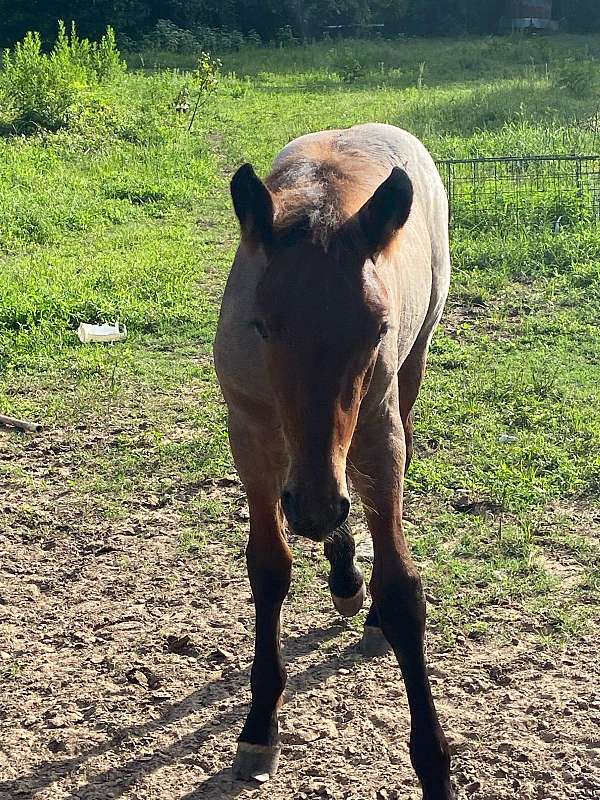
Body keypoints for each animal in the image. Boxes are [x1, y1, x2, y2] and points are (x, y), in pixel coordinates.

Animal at [213, 123, 453, 800]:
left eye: (374, 330)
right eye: (262, 325)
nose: (315, 506)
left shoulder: (373, 439)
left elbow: (401, 589)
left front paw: (433, 764)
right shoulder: (256, 441)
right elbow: (269, 568)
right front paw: (259, 727)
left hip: (407, 378)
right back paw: (343, 571)